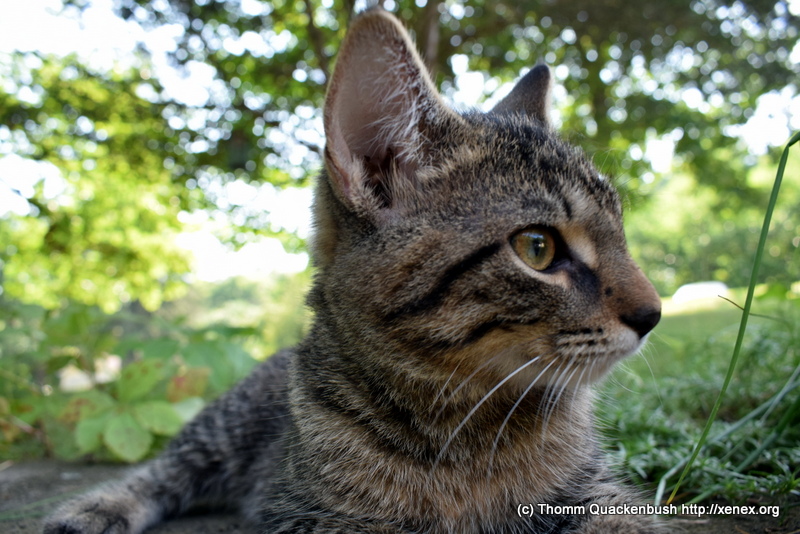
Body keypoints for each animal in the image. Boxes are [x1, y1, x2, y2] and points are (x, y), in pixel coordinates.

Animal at [43, 8, 664, 534]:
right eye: (537, 247)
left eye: (620, 230)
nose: (654, 314)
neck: (464, 430)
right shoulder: (308, 512)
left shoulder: (594, 494)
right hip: (222, 427)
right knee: (164, 469)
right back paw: (98, 506)